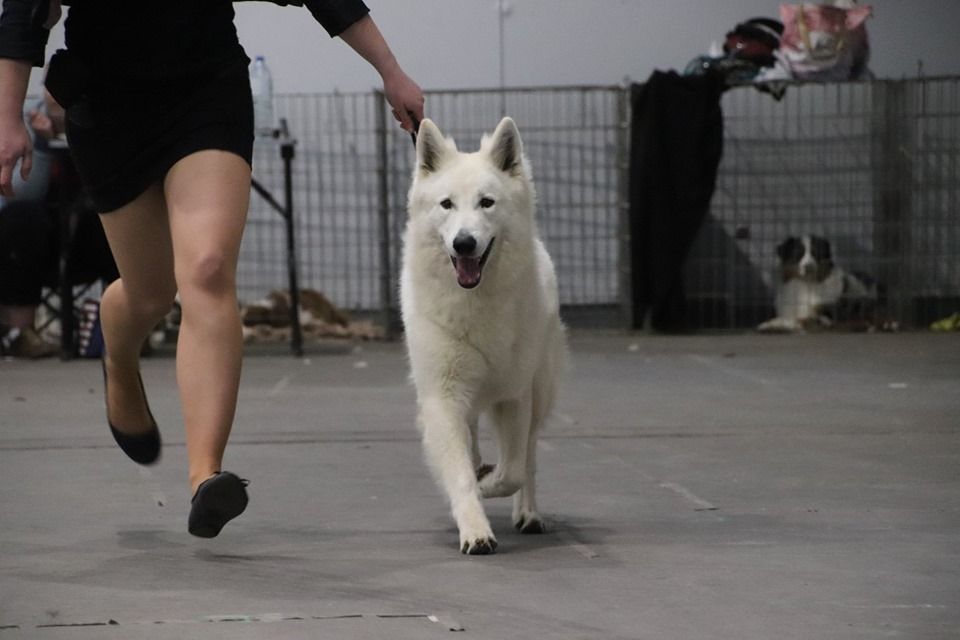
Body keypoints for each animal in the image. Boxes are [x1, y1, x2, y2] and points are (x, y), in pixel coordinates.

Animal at [400, 117, 568, 555]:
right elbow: (460, 471)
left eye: (486, 203)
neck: (474, 303)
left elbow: (512, 471)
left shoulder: (514, 396)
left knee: (528, 456)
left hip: (539, 390)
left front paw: (489, 484)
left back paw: (528, 514)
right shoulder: (443, 398)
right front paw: (475, 529)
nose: (464, 243)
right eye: (446, 204)